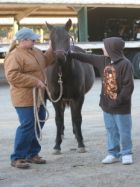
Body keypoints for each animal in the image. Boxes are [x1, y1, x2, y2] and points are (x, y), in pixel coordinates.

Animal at [45, 18, 94, 153]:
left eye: (67, 38)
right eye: (51, 39)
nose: (60, 58)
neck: (62, 74)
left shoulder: (78, 97)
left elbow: (77, 118)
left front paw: (81, 143)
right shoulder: (55, 98)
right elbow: (58, 119)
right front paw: (57, 145)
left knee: (73, 116)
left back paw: (76, 134)